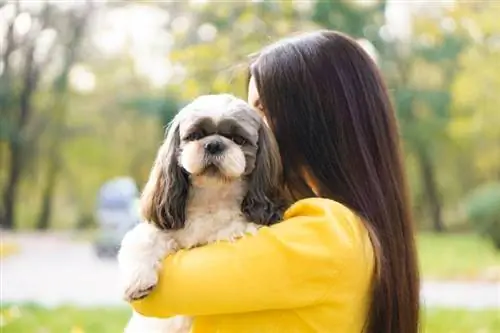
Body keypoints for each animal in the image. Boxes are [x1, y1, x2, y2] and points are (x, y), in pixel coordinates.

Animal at [117, 92, 288, 330]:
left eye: (238, 140)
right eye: (196, 135)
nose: (214, 144)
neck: (211, 197)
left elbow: (231, 231)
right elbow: (144, 237)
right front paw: (137, 280)